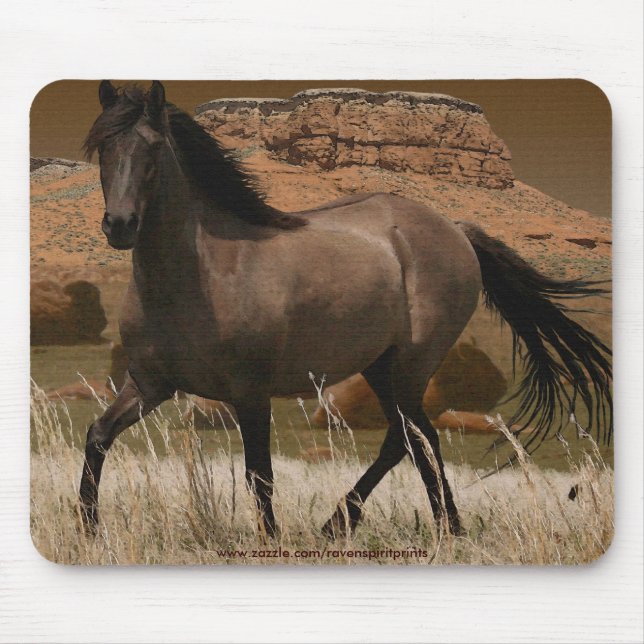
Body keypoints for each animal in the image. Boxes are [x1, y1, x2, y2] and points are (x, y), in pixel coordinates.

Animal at [79, 80, 612, 538]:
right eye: (103, 148)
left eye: (153, 149)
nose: (120, 225)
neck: (203, 274)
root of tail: (455, 229)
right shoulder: (150, 384)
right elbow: (97, 436)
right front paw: (88, 529)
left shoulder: (250, 392)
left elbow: (259, 473)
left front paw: (271, 539)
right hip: (379, 365)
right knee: (416, 438)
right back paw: (435, 527)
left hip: (410, 364)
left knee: (408, 437)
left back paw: (354, 523)